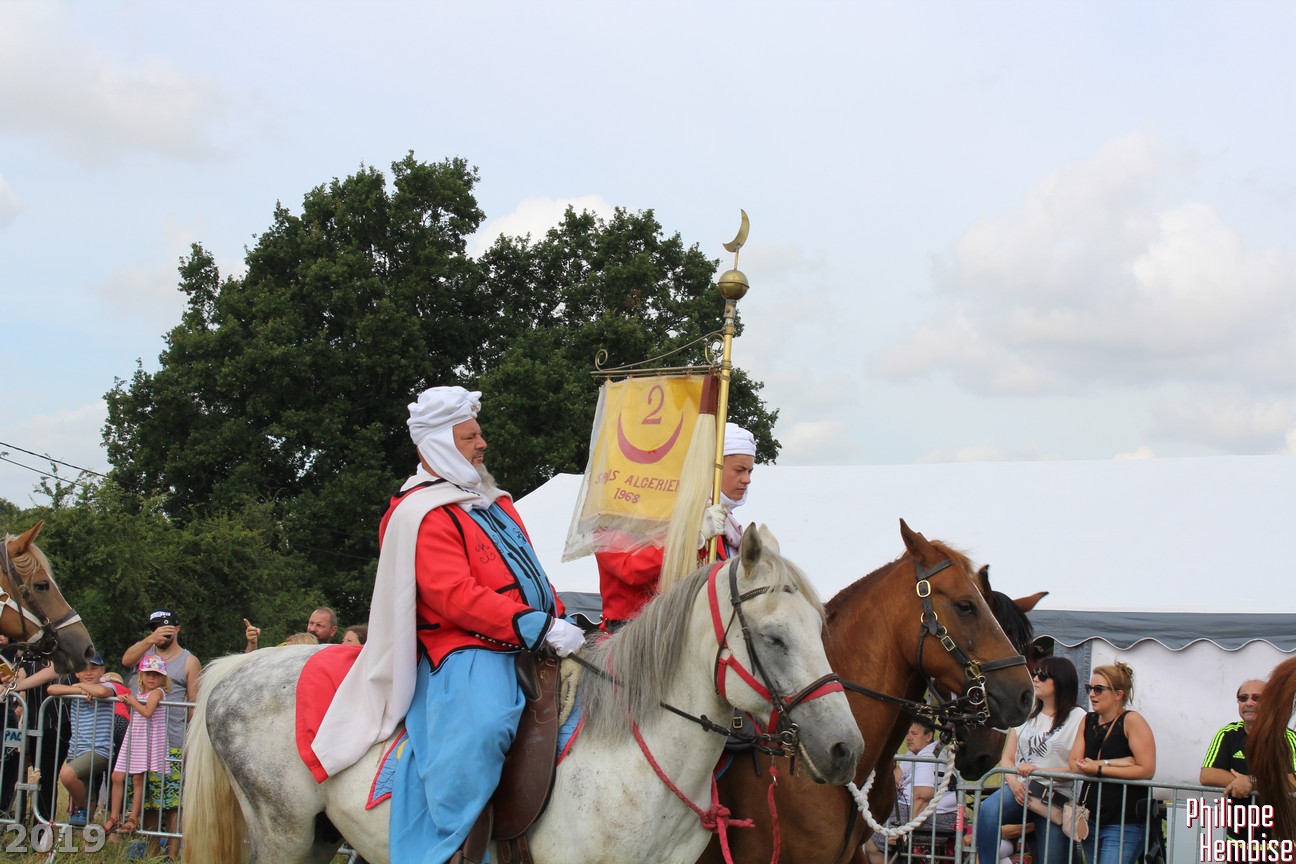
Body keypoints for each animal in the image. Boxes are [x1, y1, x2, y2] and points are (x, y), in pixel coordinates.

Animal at [183, 526, 866, 864]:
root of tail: (239, 667)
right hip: (282, 836)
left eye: (822, 628)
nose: (844, 749)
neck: (634, 756)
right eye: (774, 638)